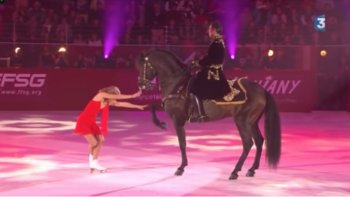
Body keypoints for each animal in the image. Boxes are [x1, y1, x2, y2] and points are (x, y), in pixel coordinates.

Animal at [135, 48, 280, 180]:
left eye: (144, 66)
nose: (142, 84)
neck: (177, 83)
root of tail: (261, 90)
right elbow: (152, 106)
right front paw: (160, 123)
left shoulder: (178, 118)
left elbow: (182, 143)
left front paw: (181, 167)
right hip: (252, 122)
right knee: (259, 141)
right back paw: (251, 169)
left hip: (242, 121)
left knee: (248, 143)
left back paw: (235, 171)